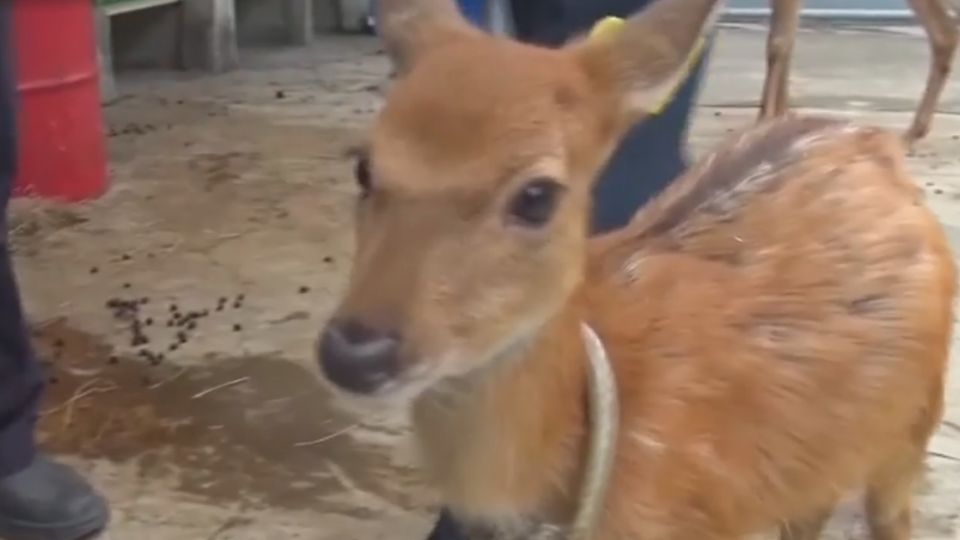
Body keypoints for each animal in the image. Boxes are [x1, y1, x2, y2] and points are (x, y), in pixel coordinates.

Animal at [760, 0, 960, 142]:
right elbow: (786, 40)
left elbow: (778, 42)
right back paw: (914, 132)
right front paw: (780, 118)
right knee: (944, 35)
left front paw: (764, 120)